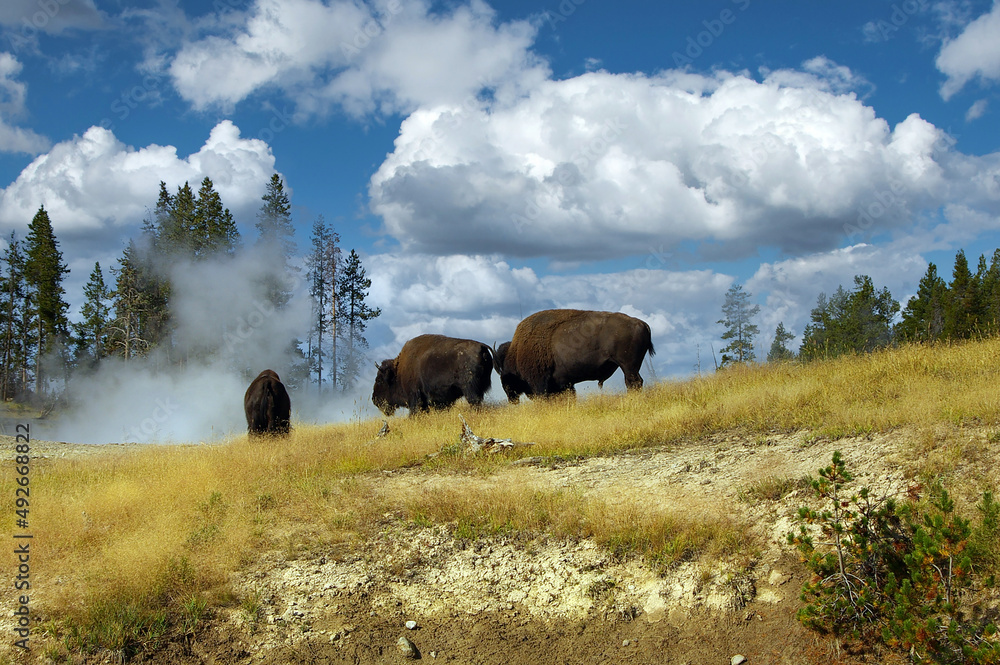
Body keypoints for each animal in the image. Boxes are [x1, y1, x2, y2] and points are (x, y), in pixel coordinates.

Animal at [494, 308, 656, 402]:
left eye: (505, 377)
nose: (511, 398)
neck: (516, 353)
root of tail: (641, 323)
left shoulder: (541, 385)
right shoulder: (566, 383)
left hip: (628, 366)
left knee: (633, 383)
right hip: (630, 366)